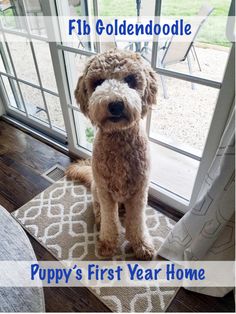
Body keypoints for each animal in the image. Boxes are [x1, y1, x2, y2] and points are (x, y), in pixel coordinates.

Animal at [65, 49, 158, 260]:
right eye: (98, 82)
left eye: (130, 79)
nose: (115, 104)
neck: (119, 139)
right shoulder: (106, 192)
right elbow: (110, 220)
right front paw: (107, 243)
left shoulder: (139, 192)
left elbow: (137, 222)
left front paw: (141, 245)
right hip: (96, 189)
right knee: (99, 208)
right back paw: (99, 218)